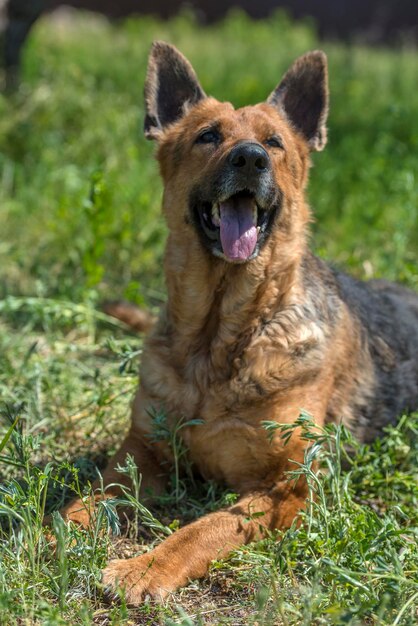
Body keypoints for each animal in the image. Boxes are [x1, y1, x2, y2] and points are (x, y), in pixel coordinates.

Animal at [58, 41, 418, 604]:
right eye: (208, 136)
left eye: (274, 142)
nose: (250, 158)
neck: (218, 340)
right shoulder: (140, 454)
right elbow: (87, 499)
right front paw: (56, 533)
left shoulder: (284, 487)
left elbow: (203, 528)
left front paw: (144, 568)